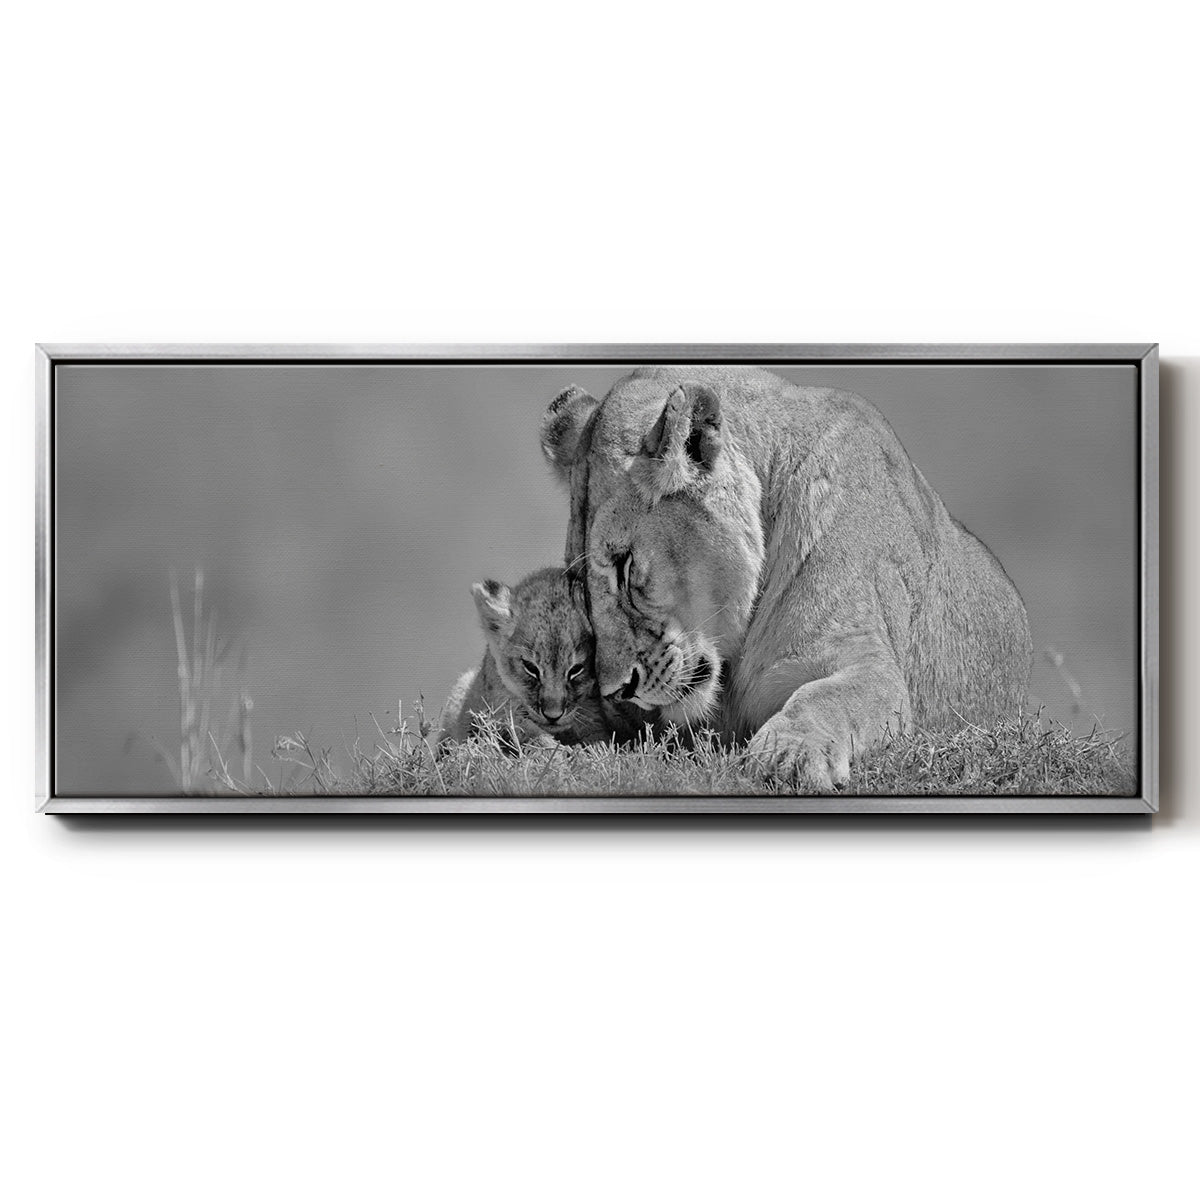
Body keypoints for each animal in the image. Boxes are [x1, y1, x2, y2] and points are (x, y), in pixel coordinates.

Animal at [437, 567, 608, 749]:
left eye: (576, 669)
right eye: (531, 668)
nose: (553, 716)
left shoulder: (593, 715)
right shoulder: (503, 710)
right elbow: (531, 736)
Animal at [540, 366, 1033, 789]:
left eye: (623, 565)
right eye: (580, 584)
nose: (616, 691)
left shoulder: (866, 661)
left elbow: (827, 697)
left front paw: (788, 754)